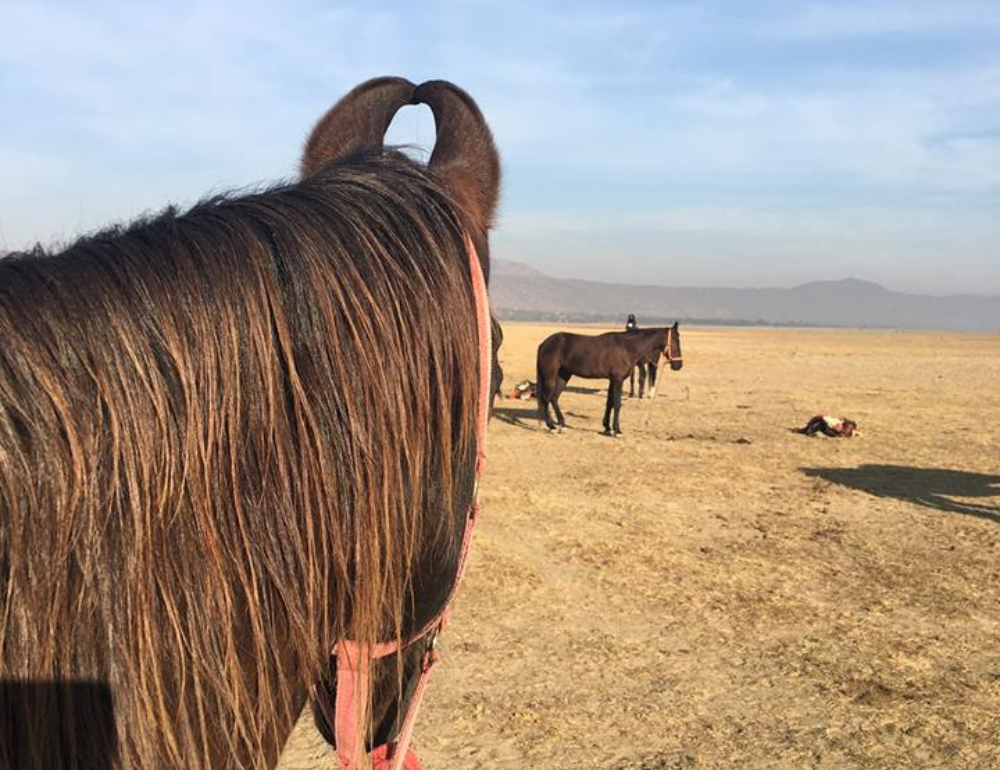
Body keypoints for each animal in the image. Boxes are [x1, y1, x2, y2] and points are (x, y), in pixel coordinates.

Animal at [536, 320, 684, 436]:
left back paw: (562, 424)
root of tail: (545, 343)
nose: (679, 365)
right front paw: (617, 430)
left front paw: (607, 427)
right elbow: (617, 404)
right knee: (546, 398)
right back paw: (551, 426)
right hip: (550, 376)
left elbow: (610, 403)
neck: (626, 347)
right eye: (676, 341)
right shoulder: (618, 379)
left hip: (564, 375)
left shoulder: (613, 380)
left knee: (554, 398)